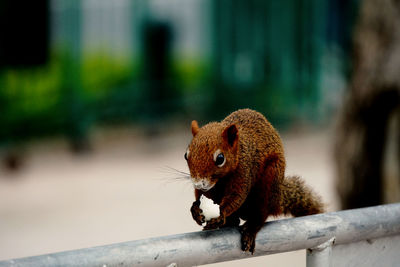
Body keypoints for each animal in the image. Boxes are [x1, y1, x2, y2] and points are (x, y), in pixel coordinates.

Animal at [186, 108, 324, 253]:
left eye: (220, 158)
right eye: (186, 155)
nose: (198, 183)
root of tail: (277, 199)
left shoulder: (244, 171)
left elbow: (236, 196)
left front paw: (220, 213)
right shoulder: (208, 189)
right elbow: (201, 196)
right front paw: (195, 210)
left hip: (269, 181)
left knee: (261, 214)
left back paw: (250, 229)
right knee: (236, 220)